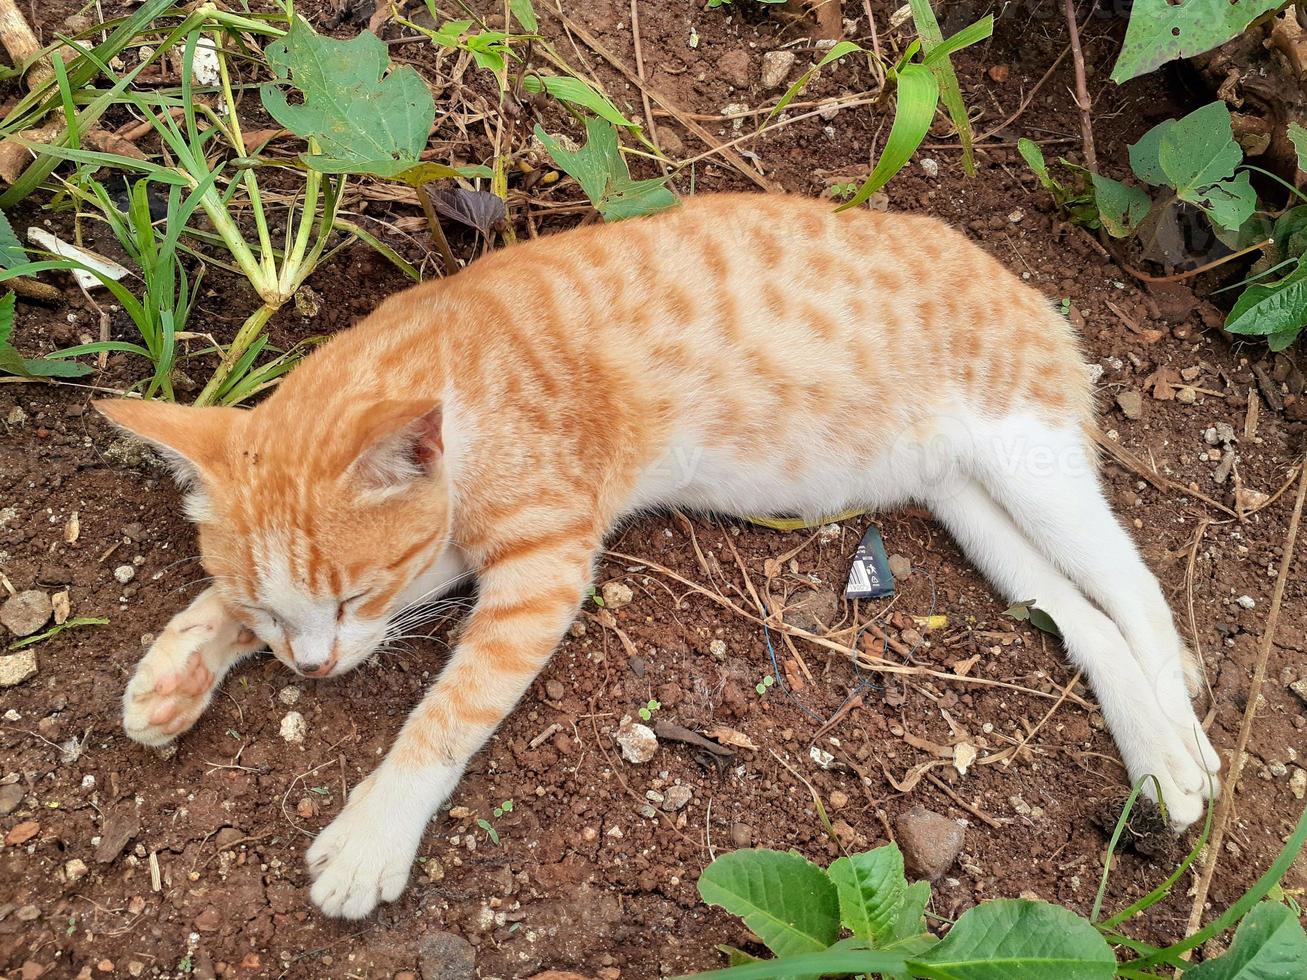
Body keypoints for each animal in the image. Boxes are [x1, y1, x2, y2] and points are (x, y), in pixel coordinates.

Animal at [96, 193, 1218, 919]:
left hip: (1027, 456)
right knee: (1078, 618)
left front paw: (374, 834)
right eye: (274, 610)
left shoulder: (541, 560)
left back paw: (1180, 732)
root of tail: (1014, 275)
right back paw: (1153, 744)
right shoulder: (456, 549)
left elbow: (446, 713)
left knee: (1136, 588)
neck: (455, 379)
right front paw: (182, 662)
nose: (312, 668)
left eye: (353, 589)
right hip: (971, 506)